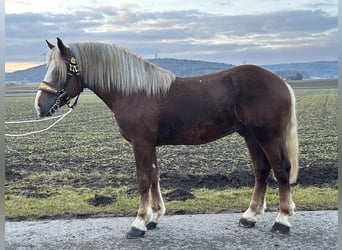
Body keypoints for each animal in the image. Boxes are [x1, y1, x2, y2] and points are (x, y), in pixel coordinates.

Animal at [33, 37, 298, 238]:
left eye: (60, 71)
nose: (39, 106)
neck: (134, 91)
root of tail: (281, 82)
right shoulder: (149, 144)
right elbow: (154, 176)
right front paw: (154, 216)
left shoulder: (141, 143)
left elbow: (143, 179)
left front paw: (139, 223)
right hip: (251, 136)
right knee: (261, 170)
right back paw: (250, 216)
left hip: (268, 136)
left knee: (281, 170)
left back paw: (282, 220)